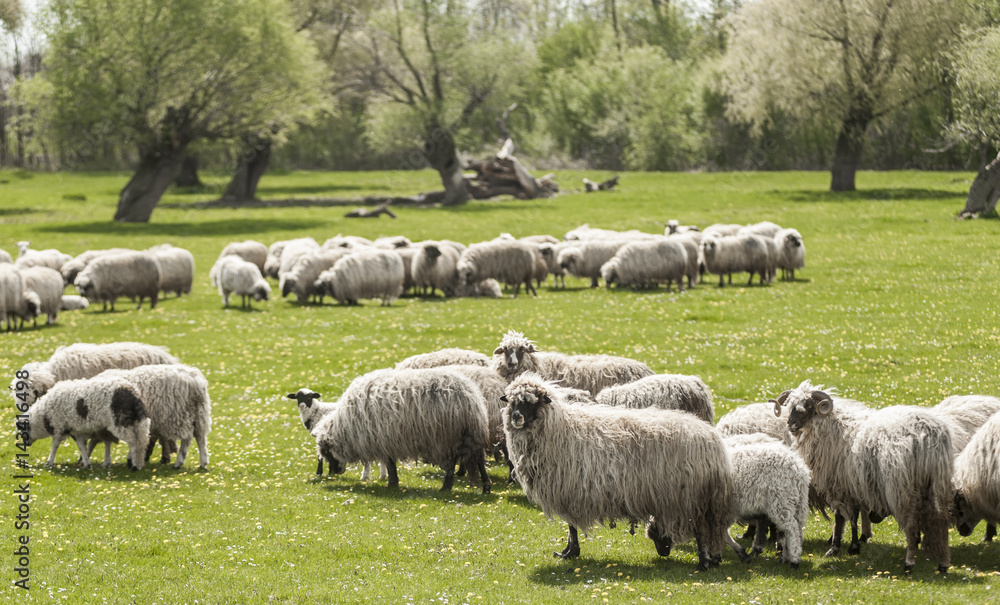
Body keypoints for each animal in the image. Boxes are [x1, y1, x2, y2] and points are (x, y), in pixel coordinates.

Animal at [15, 374, 150, 469]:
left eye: (23, 430)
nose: (26, 445)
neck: (43, 415)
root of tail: (133, 394)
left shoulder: (59, 427)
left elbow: (55, 445)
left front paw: (49, 462)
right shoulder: (75, 429)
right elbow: (81, 446)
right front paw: (87, 463)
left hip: (120, 422)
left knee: (133, 440)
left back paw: (134, 464)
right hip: (136, 421)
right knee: (141, 440)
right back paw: (137, 463)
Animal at [311, 367, 492, 493]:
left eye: (326, 452)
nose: (336, 472)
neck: (347, 426)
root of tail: (469, 396)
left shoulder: (385, 441)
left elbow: (390, 464)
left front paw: (392, 483)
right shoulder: (388, 441)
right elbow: (390, 463)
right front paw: (394, 482)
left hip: (447, 437)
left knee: (454, 462)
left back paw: (446, 487)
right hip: (470, 433)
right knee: (479, 458)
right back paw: (486, 486)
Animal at [502, 373, 733, 570]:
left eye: (532, 402)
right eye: (512, 401)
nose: (516, 417)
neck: (556, 429)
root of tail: (712, 439)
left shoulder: (569, 488)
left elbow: (571, 525)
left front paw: (570, 552)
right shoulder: (571, 490)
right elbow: (571, 526)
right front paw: (569, 551)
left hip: (691, 495)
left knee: (700, 529)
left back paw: (703, 562)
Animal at [722, 434, 810, 569]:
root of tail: (799, 470)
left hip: (781, 500)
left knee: (792, 528)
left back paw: (794, 561)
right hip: (797, 503)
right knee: (795, 529)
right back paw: (786, 557)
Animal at [777, 381, 953, 572]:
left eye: (809, 405)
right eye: (791, 405)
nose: (791, 423)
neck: (829, 426)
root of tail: (929, 434)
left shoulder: (839, 484)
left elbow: (841, 517)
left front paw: (836, 548)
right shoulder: (852, 485)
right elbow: (853, 516)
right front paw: (854, 546)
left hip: (902, 487)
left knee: (912, 523)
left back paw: (909, 564)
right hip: (938, 483)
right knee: (941, 520)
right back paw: (943, 564)